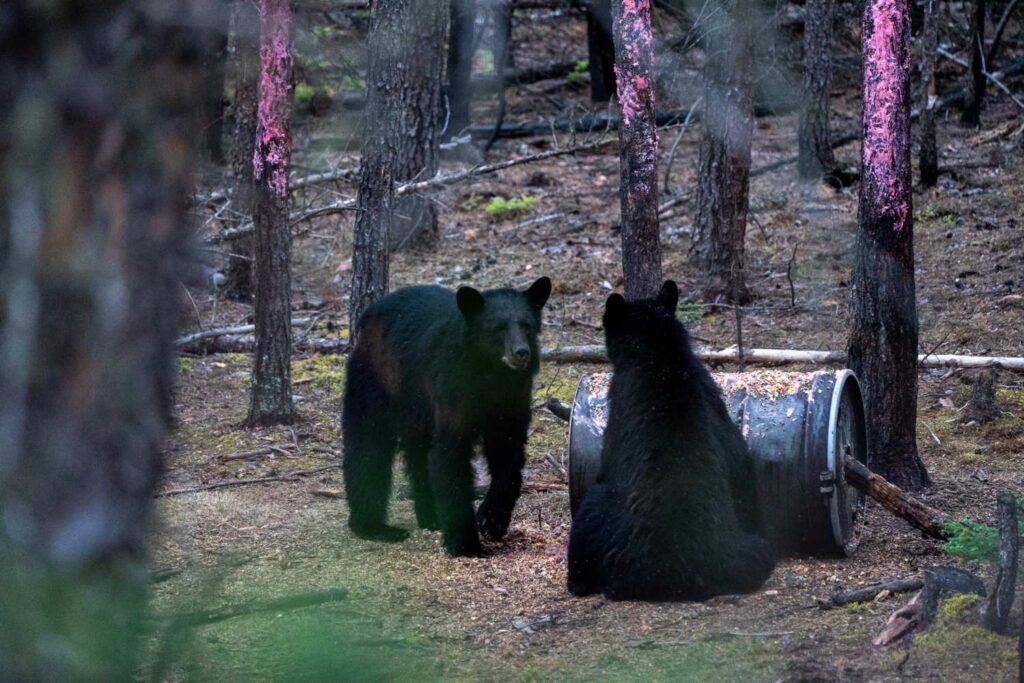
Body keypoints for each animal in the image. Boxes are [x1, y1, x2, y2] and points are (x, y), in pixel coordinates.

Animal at [342, 277, 551, 556]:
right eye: (498, 327)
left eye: (526, 325)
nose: (520, 352)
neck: (492, 376)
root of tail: (370, 313)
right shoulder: (455, 390)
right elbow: (451, 456)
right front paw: (467, 544)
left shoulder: (512, 400)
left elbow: (508, 457)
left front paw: (491, 520)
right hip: (376, 380)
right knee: (368, 446)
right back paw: (374, 526)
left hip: (418, 408)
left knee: (419, 455)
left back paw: (430, 516)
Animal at [567, 280, 775, 601]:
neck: (661, 353)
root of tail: (673, 572)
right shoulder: (713, 399)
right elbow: (740, 464)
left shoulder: (618, 407)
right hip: (749, 553)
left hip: (602, 520)